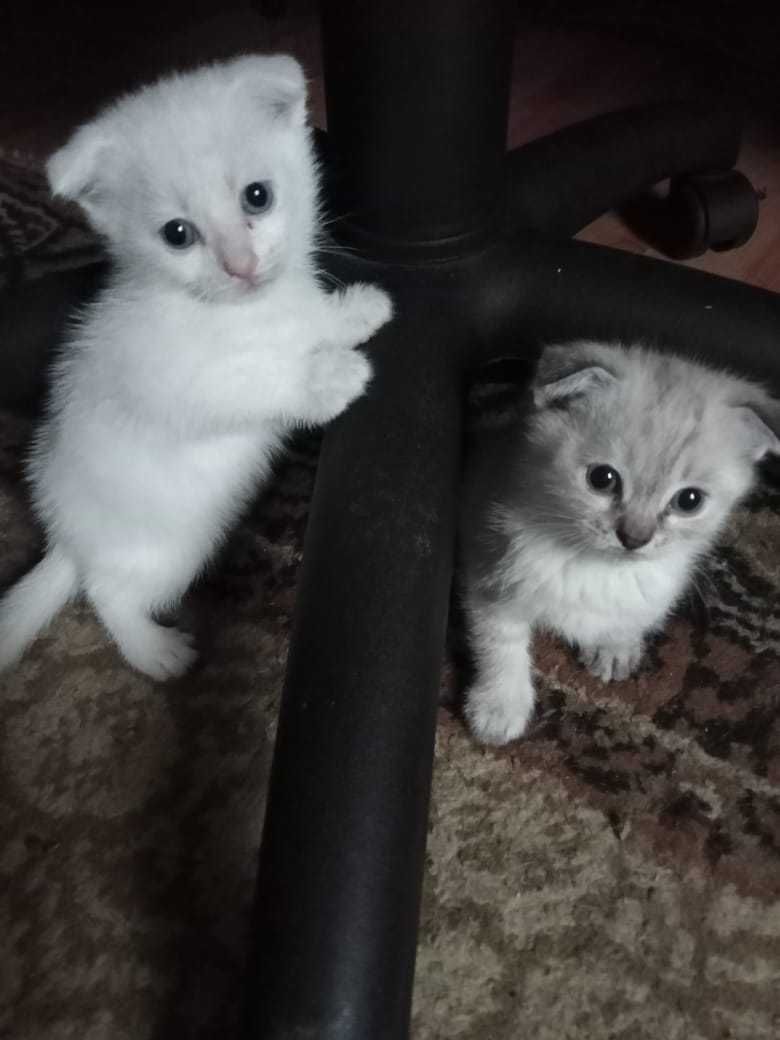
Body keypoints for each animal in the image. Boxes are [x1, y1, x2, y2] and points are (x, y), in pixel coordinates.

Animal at [0, 54, 393, 682]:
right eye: (177, 234)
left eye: (257, 196)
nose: (241, 265)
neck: (245, 312)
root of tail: (68, 539)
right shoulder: (174, 382)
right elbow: (257, 381)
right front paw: (330, 377)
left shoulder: (290, 308)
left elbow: (310, 320)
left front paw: (355, 310)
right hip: (170, 549)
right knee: (106, 592)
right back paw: (153, 650)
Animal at [461, 336, 780, 744]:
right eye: (602, 478)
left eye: (689, 500)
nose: (634, 537)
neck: (597, 567)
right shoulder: (488, 567)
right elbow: (499, 643)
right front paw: (499, 705)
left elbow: (634, 614)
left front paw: (616, 645)